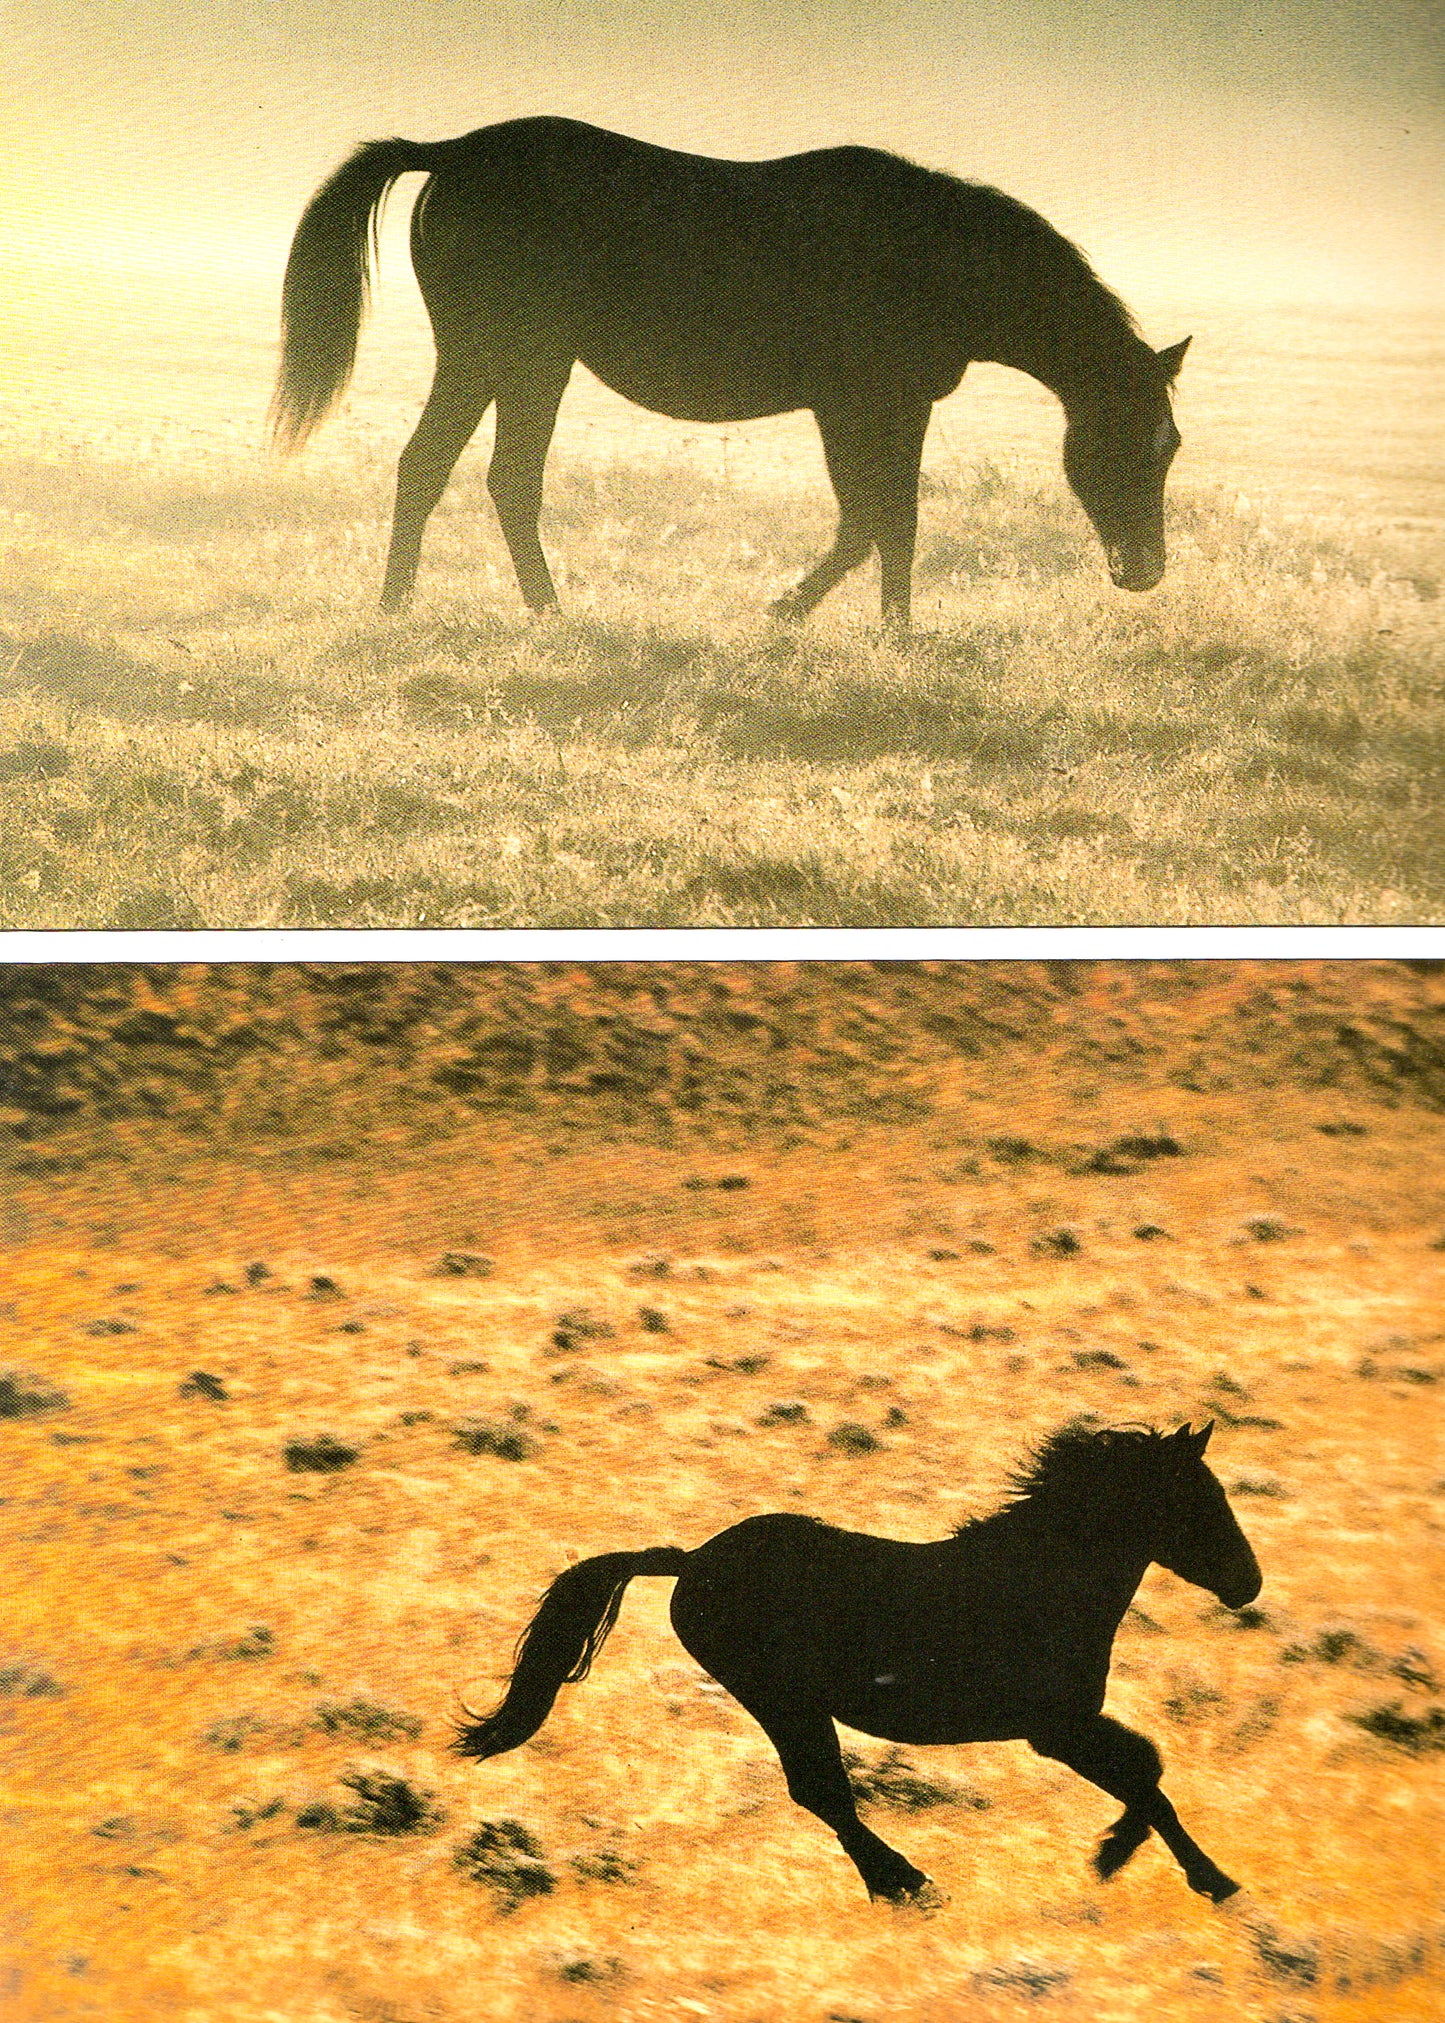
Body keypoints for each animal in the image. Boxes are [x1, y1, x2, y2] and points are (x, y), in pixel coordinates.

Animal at [271, 116, 1191, 631]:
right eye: (1131, 444)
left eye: (1170, 445)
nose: (1144, 571)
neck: (933, 255)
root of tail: (452, 153)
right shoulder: (856, 406)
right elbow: (871, 519)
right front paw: (804, 613)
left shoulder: (894, 408)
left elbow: (891, 520)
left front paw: (889, 630)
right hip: (515, 358)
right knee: (492, 477)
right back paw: (526, 611)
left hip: (495, 360)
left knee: (444, 471)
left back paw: (420, 606)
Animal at [456, 1421, 1261, 1906]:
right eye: (1197, 1502)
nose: (1247, 1582)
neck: (1039, 1578)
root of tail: (693, 1561)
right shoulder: (1054, 1727)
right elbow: (1147, 1779)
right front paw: (1173, 1871)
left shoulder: (1067, 1724)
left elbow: (1147, 1770)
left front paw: (1152, 1863)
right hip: (783, 1701)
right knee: (823, 1793)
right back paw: (909, 1886)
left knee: (822, 1795)